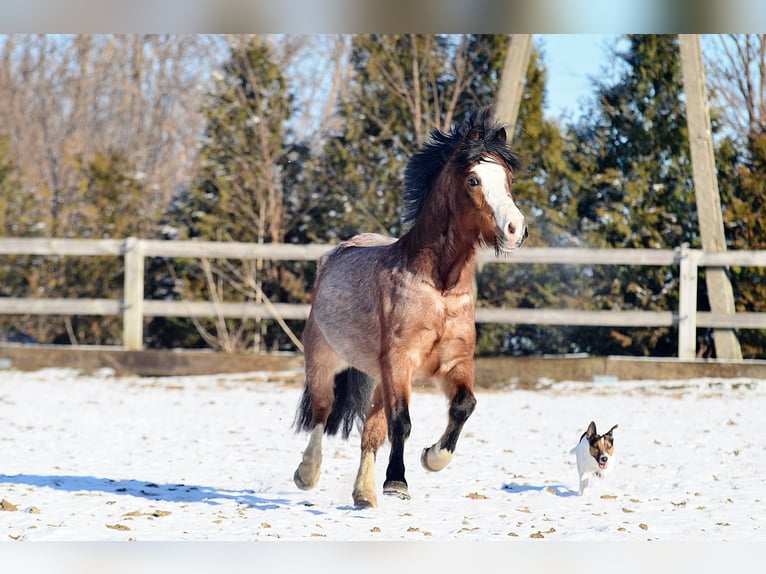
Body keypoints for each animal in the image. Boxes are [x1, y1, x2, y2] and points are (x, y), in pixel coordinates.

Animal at [294, 108, 528, 508]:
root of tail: (336, 253)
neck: (439, 288)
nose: (516, 228)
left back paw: (364, 494)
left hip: (375, 379)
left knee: (370, 430)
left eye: (508, 178)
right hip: (325, 361)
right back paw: (307, 474)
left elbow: (464, 406)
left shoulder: (454, 362)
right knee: (322, 414)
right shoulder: (399, 363)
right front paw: (397, 483)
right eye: (474, 179)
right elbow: (401, 422)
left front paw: (432, 458)